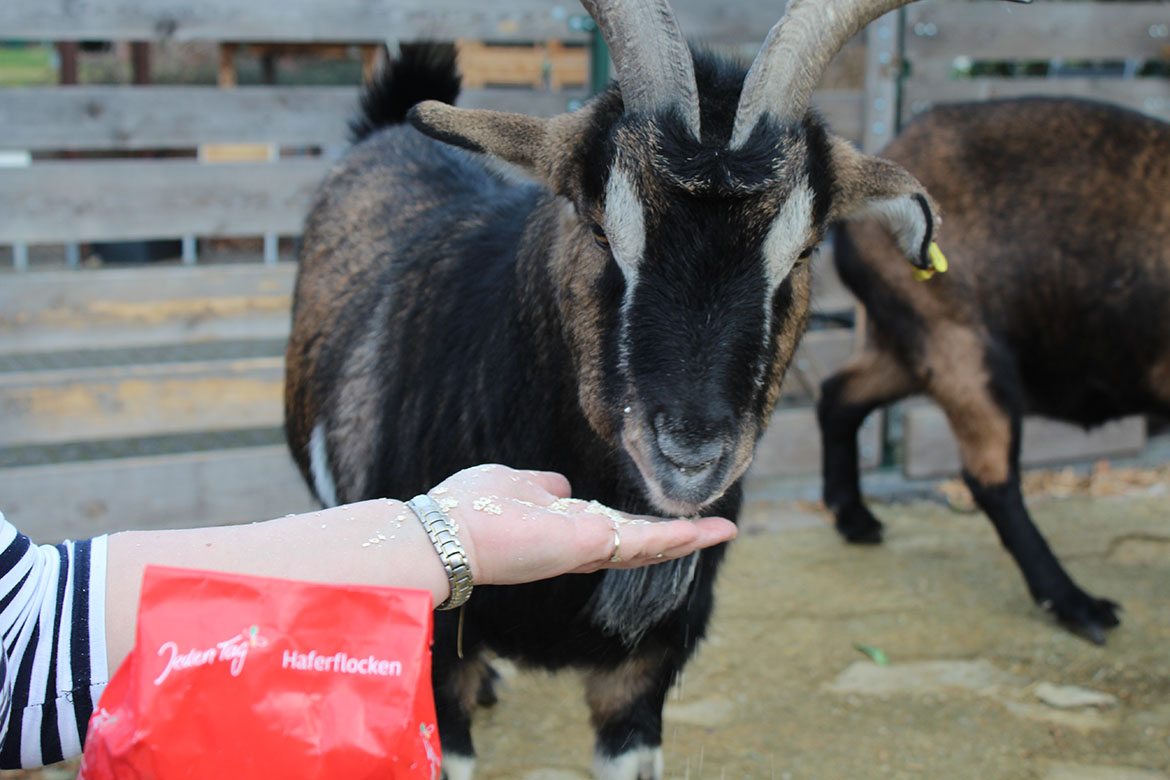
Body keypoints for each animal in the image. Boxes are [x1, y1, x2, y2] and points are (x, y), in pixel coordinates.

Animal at [819, 95, 1170, 645]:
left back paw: (854, 518)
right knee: (991, 477)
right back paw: (1076, 605)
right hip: (963, 347)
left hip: (911, 345)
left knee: (840, 394)